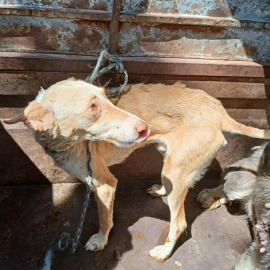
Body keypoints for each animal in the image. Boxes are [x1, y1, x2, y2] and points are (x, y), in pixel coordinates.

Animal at [5, 78, 270, 262]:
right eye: (93, 107)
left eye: (106, 96)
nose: (144, 128)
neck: (65, 142)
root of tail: (219, 111)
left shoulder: (106, 184)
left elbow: (105, 218)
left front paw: (101, 240)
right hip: (171, 165)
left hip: (176, 170)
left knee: (180, 223)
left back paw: (164, 251)